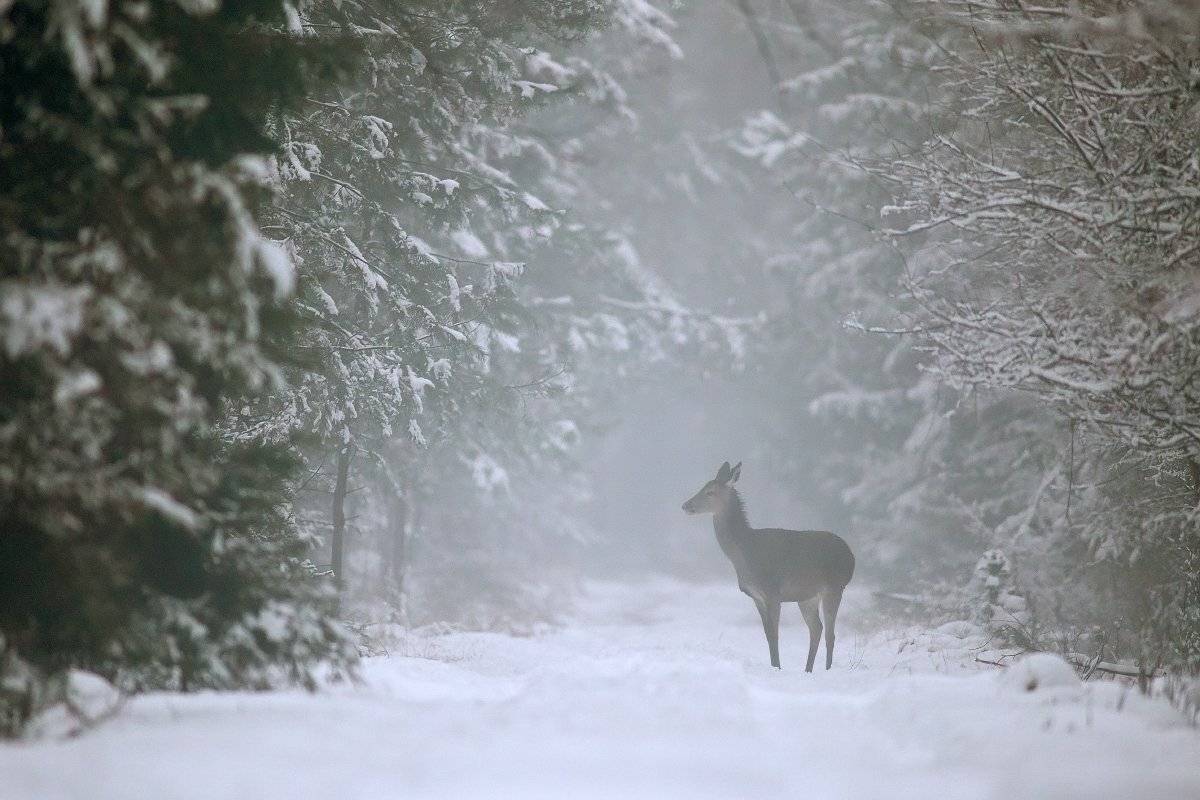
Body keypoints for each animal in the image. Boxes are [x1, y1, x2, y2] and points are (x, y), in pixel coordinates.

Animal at [681, 461, 855, 671]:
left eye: (710, 492)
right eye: (703, 487)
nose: (686, 505)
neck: (745, 553)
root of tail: (851, 555)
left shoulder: (773, 591)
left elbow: (774, 634)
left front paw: (777, 668)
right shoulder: (757, 596)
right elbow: (768, 635)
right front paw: (775, 666)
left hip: (834, 587)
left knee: (830, 634)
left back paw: (827, 670)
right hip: (807, 596)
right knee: (817, 629)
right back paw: (807, 670)